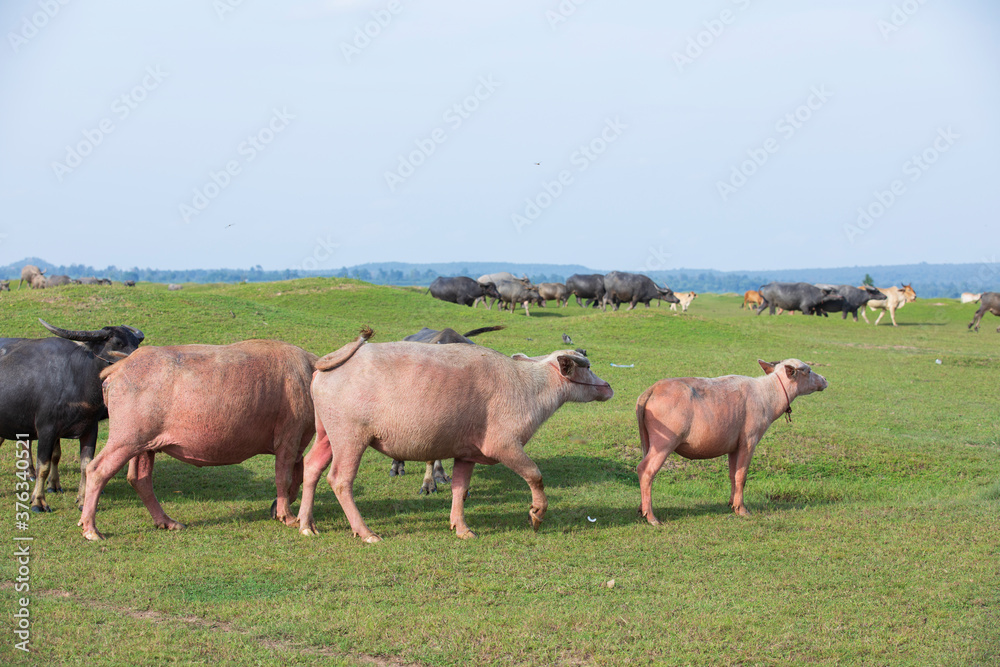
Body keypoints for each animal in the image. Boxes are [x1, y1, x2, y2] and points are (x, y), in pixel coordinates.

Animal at [0, 318, 145, 512]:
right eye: (117, 343)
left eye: (136, 343)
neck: (77, 381)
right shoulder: (47, 430)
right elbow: (43, 466)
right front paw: (38, 501)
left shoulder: (89, 429)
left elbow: (84, 465)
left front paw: (83, 501)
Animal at [76, 340, 340, 544]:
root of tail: (120, 367)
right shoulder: (289, 435)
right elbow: (283, 476)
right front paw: (287, 517)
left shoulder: (297, 442)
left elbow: (297, 472)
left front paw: (279, 509)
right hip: (125, 437)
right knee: (97, 470)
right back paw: (91, 530)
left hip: (145, 444)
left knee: (139, 479)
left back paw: (168, 522)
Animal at [296, 328, 612, 544]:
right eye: (586, 367)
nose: (608, 387)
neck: (528, 386)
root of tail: (331, 360)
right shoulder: (505, 444)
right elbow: (535, 475)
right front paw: (536, 514)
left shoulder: (467, 452)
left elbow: (460, 488)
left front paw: (462, 528)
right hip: (350, 436)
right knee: (340, 480)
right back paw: (365, 532)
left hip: (326, 433)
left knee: (311, 466)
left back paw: (305, 524)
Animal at [632, 360, 828, 528]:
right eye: (808, 370)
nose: (825, 380)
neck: (768, 395)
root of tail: (650, 391)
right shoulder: (749, 441)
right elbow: (742, 476)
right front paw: (742, 510)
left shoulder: (733, 446)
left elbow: (733, 475)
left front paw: (732, 504)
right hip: (664, 443)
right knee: (645, 470)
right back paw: (651, 517)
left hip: (648, 440)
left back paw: (642, 509)